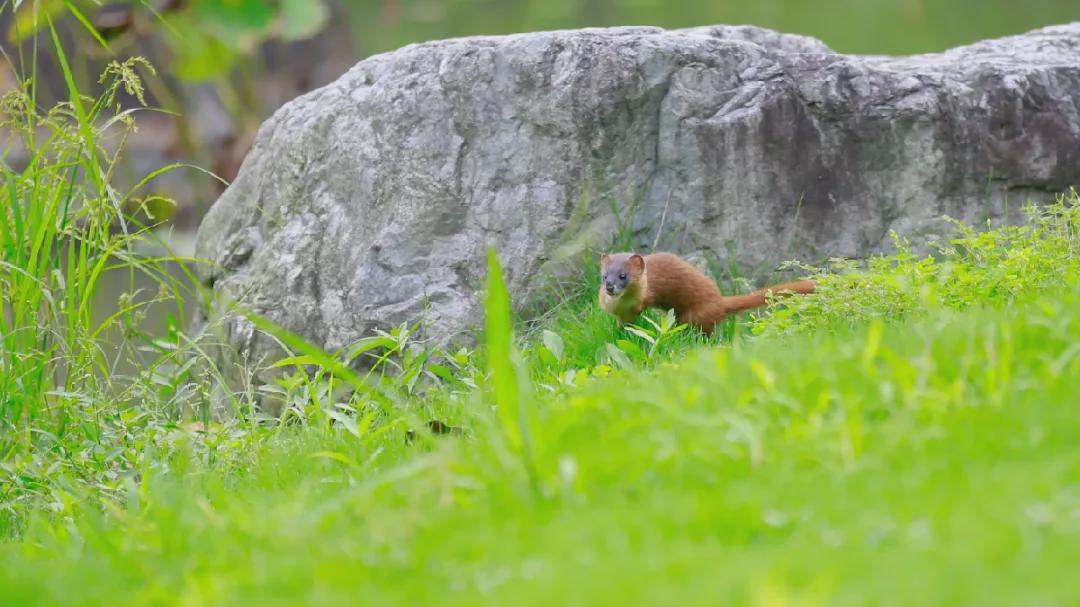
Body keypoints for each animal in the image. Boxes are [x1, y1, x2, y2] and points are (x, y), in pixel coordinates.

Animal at [596, 251, 812, 334]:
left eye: (623, 275)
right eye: (605, 276)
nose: (610, 287)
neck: (622, 305)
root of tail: (720, 300)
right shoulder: (620, 315)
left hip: (693, 315)